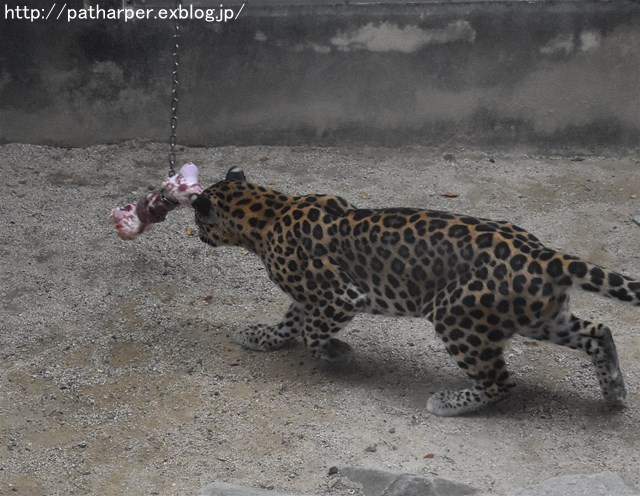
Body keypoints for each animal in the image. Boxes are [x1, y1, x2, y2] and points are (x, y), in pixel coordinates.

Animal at [191, 167, 640, 414]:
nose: (197, 234)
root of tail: (544, 254)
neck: (269, 213)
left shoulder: (339, 296)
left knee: (502, 382)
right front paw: (263, 337)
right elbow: (292, 321)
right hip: (540, 317)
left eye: (199, 221)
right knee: (599, 332)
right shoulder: (313, 296)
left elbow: (313, 332)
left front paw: (339, 353)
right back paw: (615, 391)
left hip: (457, 318)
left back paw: (450, 403)